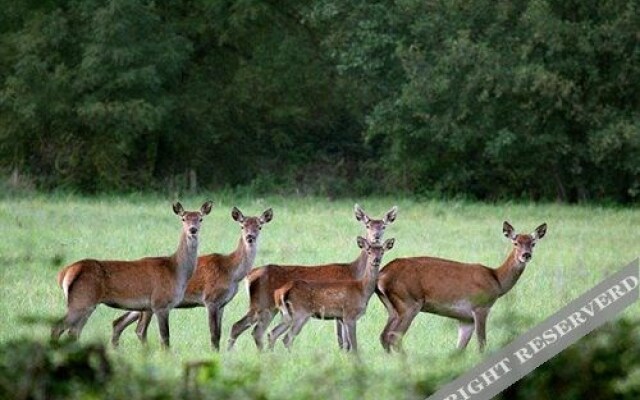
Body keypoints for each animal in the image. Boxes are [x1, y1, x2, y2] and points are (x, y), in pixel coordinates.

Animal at [51, 202, 214, 348]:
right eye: (183, 218)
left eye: (200, 218)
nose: (193, 230)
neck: (177, 271)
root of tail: (65, 273)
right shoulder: (160, 303)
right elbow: (165, 338)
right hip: (81, 301)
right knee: (58, 327)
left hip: (88, 304)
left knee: (74, 331)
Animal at [111, 206, 272, 350]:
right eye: (242, 226)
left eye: (259, 226)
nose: (250, 237)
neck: (231, 272)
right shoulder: (210, 299)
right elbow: (214, 335)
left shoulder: (222, 304)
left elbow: (219, 334)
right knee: (138, 328)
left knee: (119, 322)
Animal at [266, 236, 396, 352]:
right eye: (369, 251)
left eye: (382, 251)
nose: (376, 260)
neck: (362, 290)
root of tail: (281, 291)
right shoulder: (349, 314)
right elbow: (354, 345)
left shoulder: (342, 318)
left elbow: (346, 344)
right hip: (300, 313)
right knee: (287, 338)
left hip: (287, 315)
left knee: (272, 333)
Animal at [378, 222, 548, 354]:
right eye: (515, 242)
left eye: (533, 243)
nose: (526, 255)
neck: (497, 280)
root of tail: (382, 274)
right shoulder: (480, 307)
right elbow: (481, 343)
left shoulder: (465, 318)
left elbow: (460, 348)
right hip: (409, 302)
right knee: (394, 337)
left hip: (392, 307)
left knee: (384, 336)